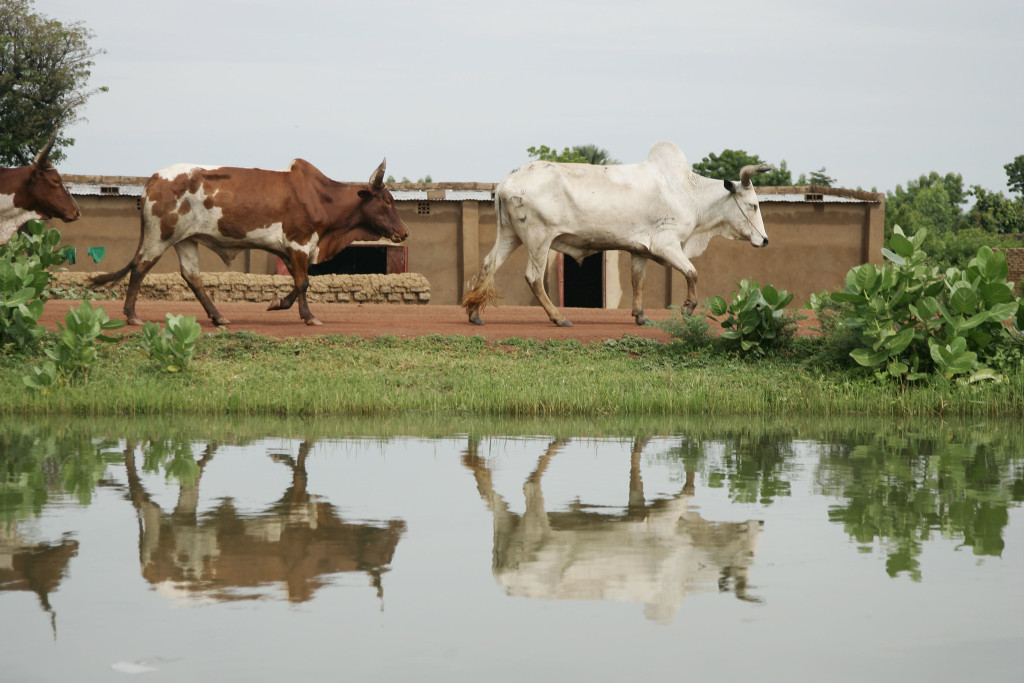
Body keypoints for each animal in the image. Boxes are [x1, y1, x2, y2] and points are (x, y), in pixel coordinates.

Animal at [90, 158, 409, 326]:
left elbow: (297, 283)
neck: (321, 199)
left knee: (192, 276)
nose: (404, 232)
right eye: (388, 201)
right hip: (160, 236)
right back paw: (132, 316)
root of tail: (153, 180)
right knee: (139, 269)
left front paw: (278, 303)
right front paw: (307, 316)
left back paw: (218, 317)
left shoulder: (291, 250)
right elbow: (304, 282)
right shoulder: (299, 244)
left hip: (186, 240)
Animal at [462, 141, 772, 327]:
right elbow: (692, 273)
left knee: (489, 265)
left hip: (510, 235)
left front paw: (641, 316)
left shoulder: (639, 251)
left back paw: (475, 313)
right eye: (753, 205)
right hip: (539, 238)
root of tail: (506, 182)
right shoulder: (667, 245)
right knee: (533, 277)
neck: (688, 193)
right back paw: (559, 317)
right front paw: (687, 307)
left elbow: (638, 282)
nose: (765, 240)